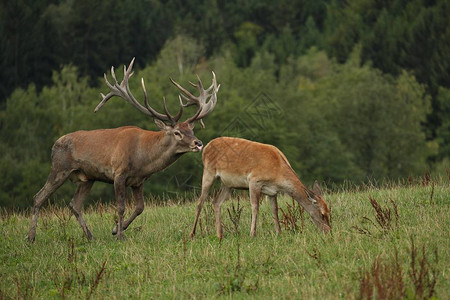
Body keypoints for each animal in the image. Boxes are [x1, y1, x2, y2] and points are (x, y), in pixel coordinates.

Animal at [27, 58, 221, 241]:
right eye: (177, 132)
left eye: (192, 130)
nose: (198, 143)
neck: (144, 159)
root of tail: (54, 145)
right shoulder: (119, 173)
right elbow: (120, 207)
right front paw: (120, 235)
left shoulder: (138, 180)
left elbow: (140, 207)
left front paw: (115, 230)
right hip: (60, 168)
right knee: (38, 197)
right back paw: (31, 237)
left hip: (87, 178)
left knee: (74, 204)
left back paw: (90, 236)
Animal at [190, 138, 330, 239]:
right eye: (322, 214)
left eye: (329, 212)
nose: (328, 231)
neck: (277, 173)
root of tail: (206, 147)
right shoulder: (254, 181)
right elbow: (255, 206)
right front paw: (252, 234)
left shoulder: (272, 191)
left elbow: (275, 210)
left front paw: (279, 233)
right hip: (208, 172)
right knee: (200, 202)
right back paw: (192, 234)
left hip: (228, 184)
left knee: (216, 202)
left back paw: (220, 234)